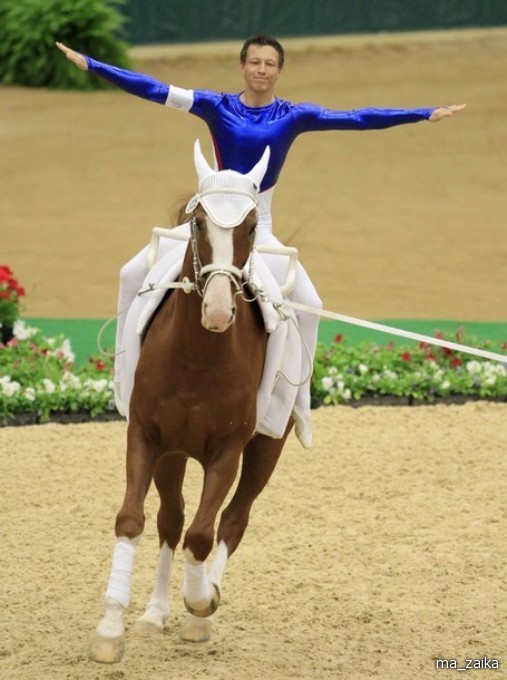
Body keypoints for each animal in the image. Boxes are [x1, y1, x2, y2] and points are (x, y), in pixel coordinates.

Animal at [91, 141, 294, 660]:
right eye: (198, 222)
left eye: (250, 227)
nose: (219, 311)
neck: (197, 357)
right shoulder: (146, 436)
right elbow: (132, 520)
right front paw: (111, 629)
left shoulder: (227, 451)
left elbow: (204, 533)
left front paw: (202, 604)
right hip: (173, 453)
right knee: (171, 518)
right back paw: (153, 613)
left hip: (267, 446)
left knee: (232, 521)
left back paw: (198, 610)